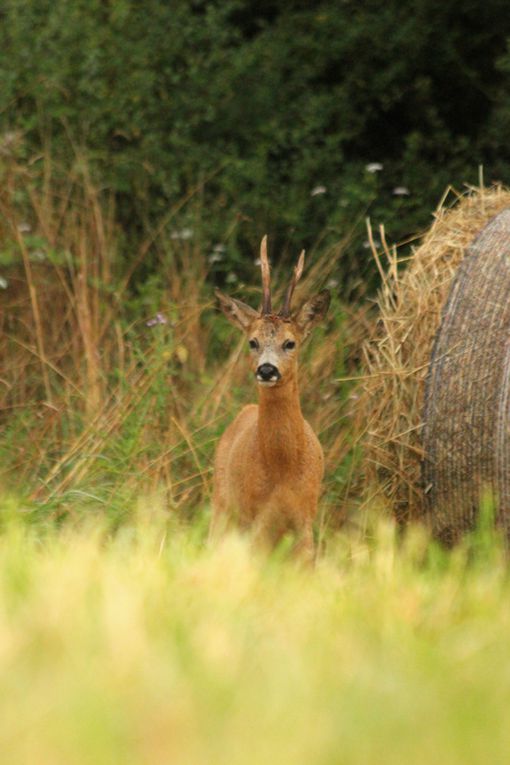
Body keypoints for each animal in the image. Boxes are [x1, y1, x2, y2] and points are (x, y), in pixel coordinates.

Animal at [211, 234, 330, 556]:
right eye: (252, 342)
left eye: (290, 343)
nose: (266, 369)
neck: (282, 471)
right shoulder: (256, 518)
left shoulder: (305, 517)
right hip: (224, 505)